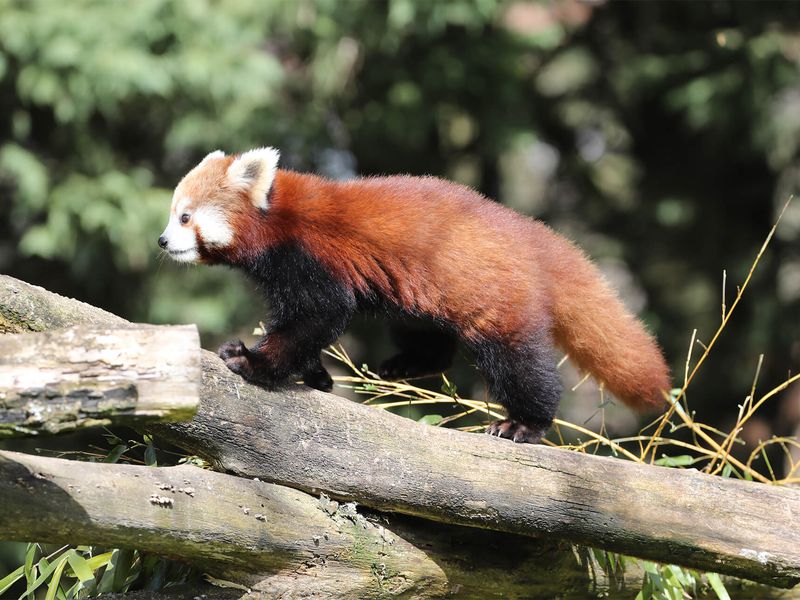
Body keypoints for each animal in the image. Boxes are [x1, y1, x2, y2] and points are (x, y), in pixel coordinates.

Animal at [158, 148, 668, 442]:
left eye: (185, 217)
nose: (162, 241)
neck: (277, 220)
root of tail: (532, 235)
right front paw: (316, 375)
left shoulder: (310, 257)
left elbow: (318, 315)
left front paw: (252, 360)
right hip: (424, 295)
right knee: (429, 336)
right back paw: (405, 365)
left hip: (495, 296)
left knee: (517, 362)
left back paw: (525, 422)